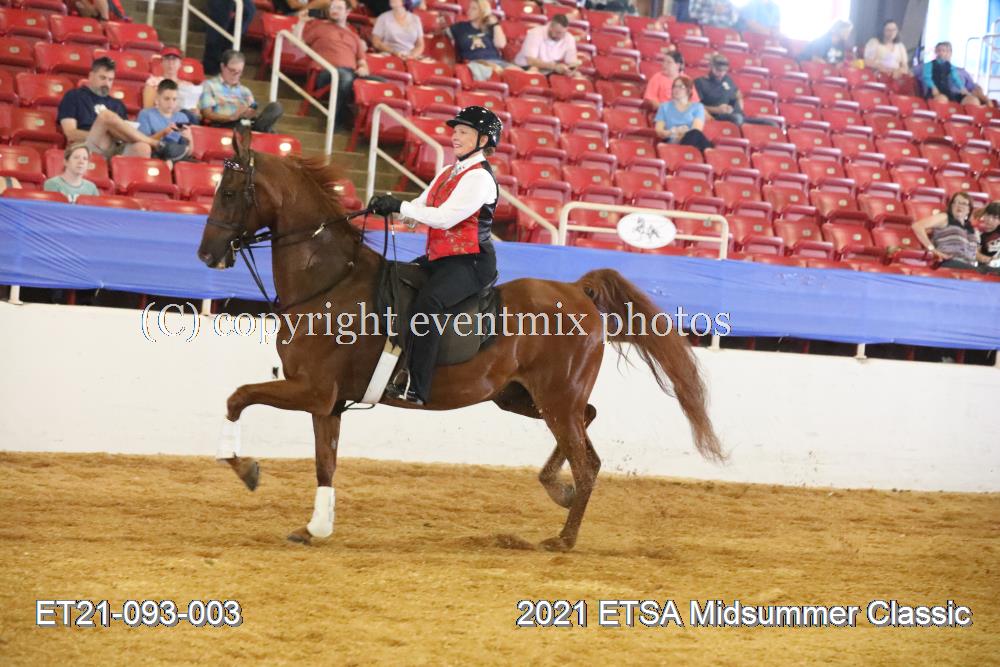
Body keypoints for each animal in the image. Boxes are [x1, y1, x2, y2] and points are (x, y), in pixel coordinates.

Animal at [196, 124, 724, 551]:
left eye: (230, 192)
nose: (206, 255)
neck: (330, 282)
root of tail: (577, 290)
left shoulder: (312, 390)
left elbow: (237, 397)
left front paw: (245, 468)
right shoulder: (327, 402)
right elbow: (325, 463)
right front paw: (315, 528)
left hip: (556, 398)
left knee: (587, 461)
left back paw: (562, 537)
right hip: (523, 397)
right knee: (588, 430)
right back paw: (558, 490)